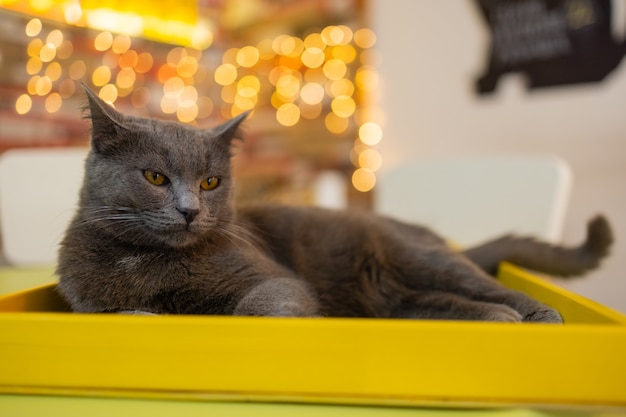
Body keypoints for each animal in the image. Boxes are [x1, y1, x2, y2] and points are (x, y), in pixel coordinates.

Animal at [56, 87, 612, 322]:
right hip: (397, 300)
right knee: (450, 304)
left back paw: (539, 317)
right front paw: (144, 314)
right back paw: (500, 321)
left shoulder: (272, 277)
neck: (150, 263)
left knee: (487, 284)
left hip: (420, 258)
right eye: (154, 176)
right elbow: (124, 314)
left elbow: (264, 304)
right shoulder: (89, 304)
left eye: (211, 182)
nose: (191, 209)